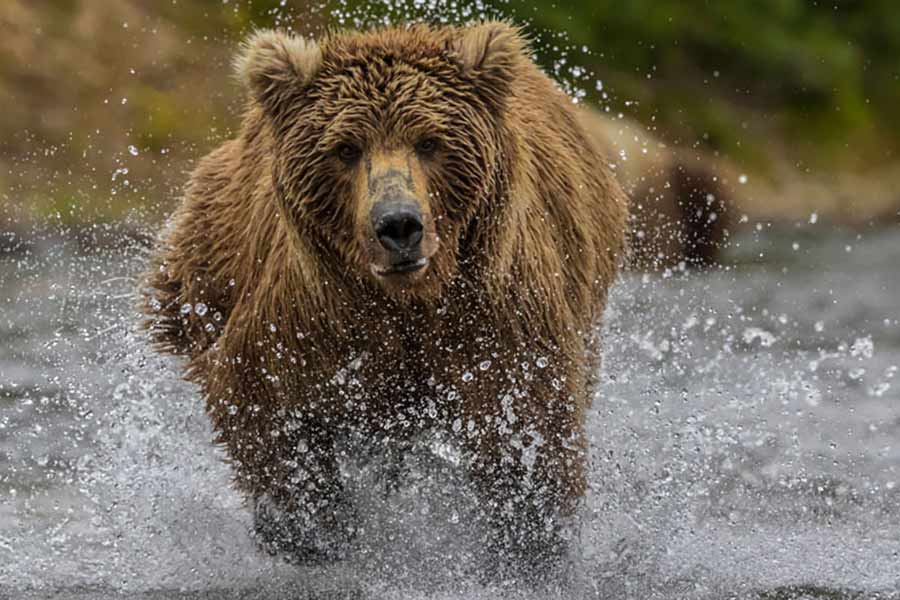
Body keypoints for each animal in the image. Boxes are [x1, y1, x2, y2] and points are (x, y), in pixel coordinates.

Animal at [141, 22, 628, 573]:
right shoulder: (310, 323)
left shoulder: (496, 312)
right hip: (203, 270)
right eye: (346, 148)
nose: (398, 225)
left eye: (430, 141)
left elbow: (526, 428)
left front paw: (527, 544)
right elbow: (271, 413)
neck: (409, 300)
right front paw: (315, 533)